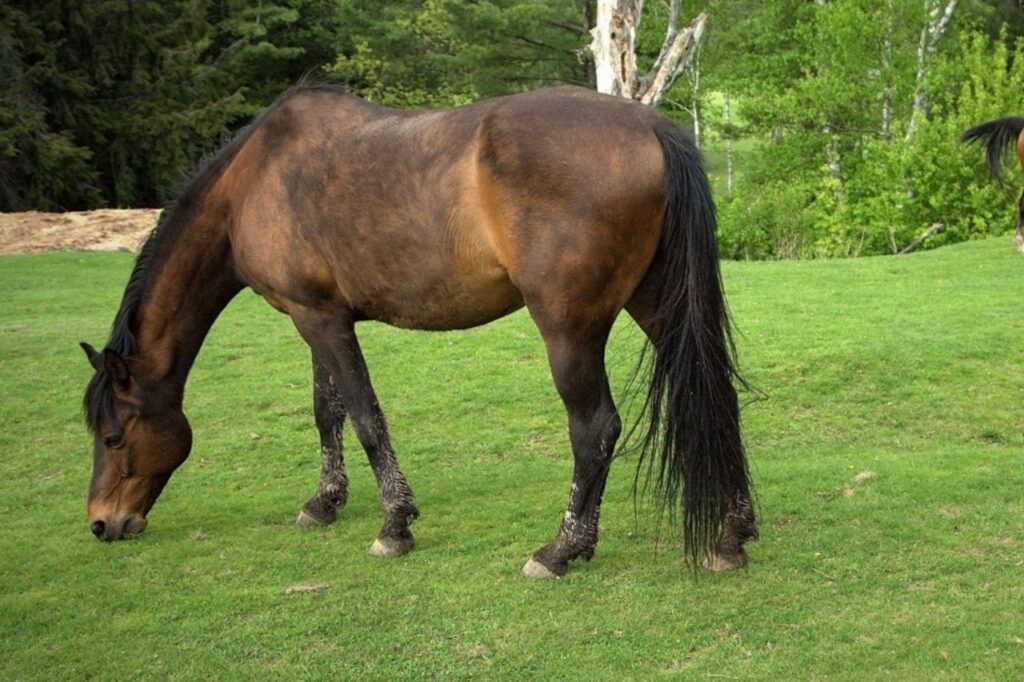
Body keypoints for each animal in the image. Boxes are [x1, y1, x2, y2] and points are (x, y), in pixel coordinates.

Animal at [80, 85, 757, 578]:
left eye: (113, 437)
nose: (101, 524)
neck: (254, 179)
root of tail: (651, 127)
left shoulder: (319, 320)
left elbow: (364, 418)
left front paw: (394, 525)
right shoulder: (317, 315)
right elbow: (326, 413)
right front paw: (324, 502)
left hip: (569, 330)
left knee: (595, 431)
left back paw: (561, 550)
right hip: (659, 304)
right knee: (718, 401)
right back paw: (731, 535)